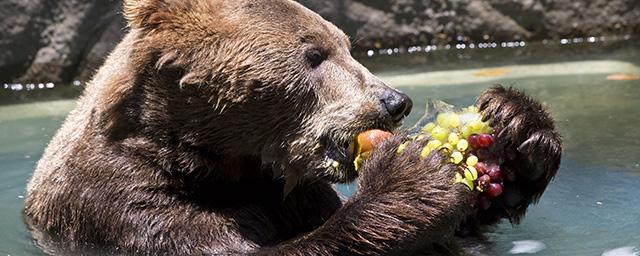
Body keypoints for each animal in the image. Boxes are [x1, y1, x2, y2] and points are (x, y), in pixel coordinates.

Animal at [23, 1, 560, 255]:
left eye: (347, 45)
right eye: (315, 54)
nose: (394, 101)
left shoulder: (292, 193)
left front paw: (516, 129)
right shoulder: (123, 203)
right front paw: (414, 174)